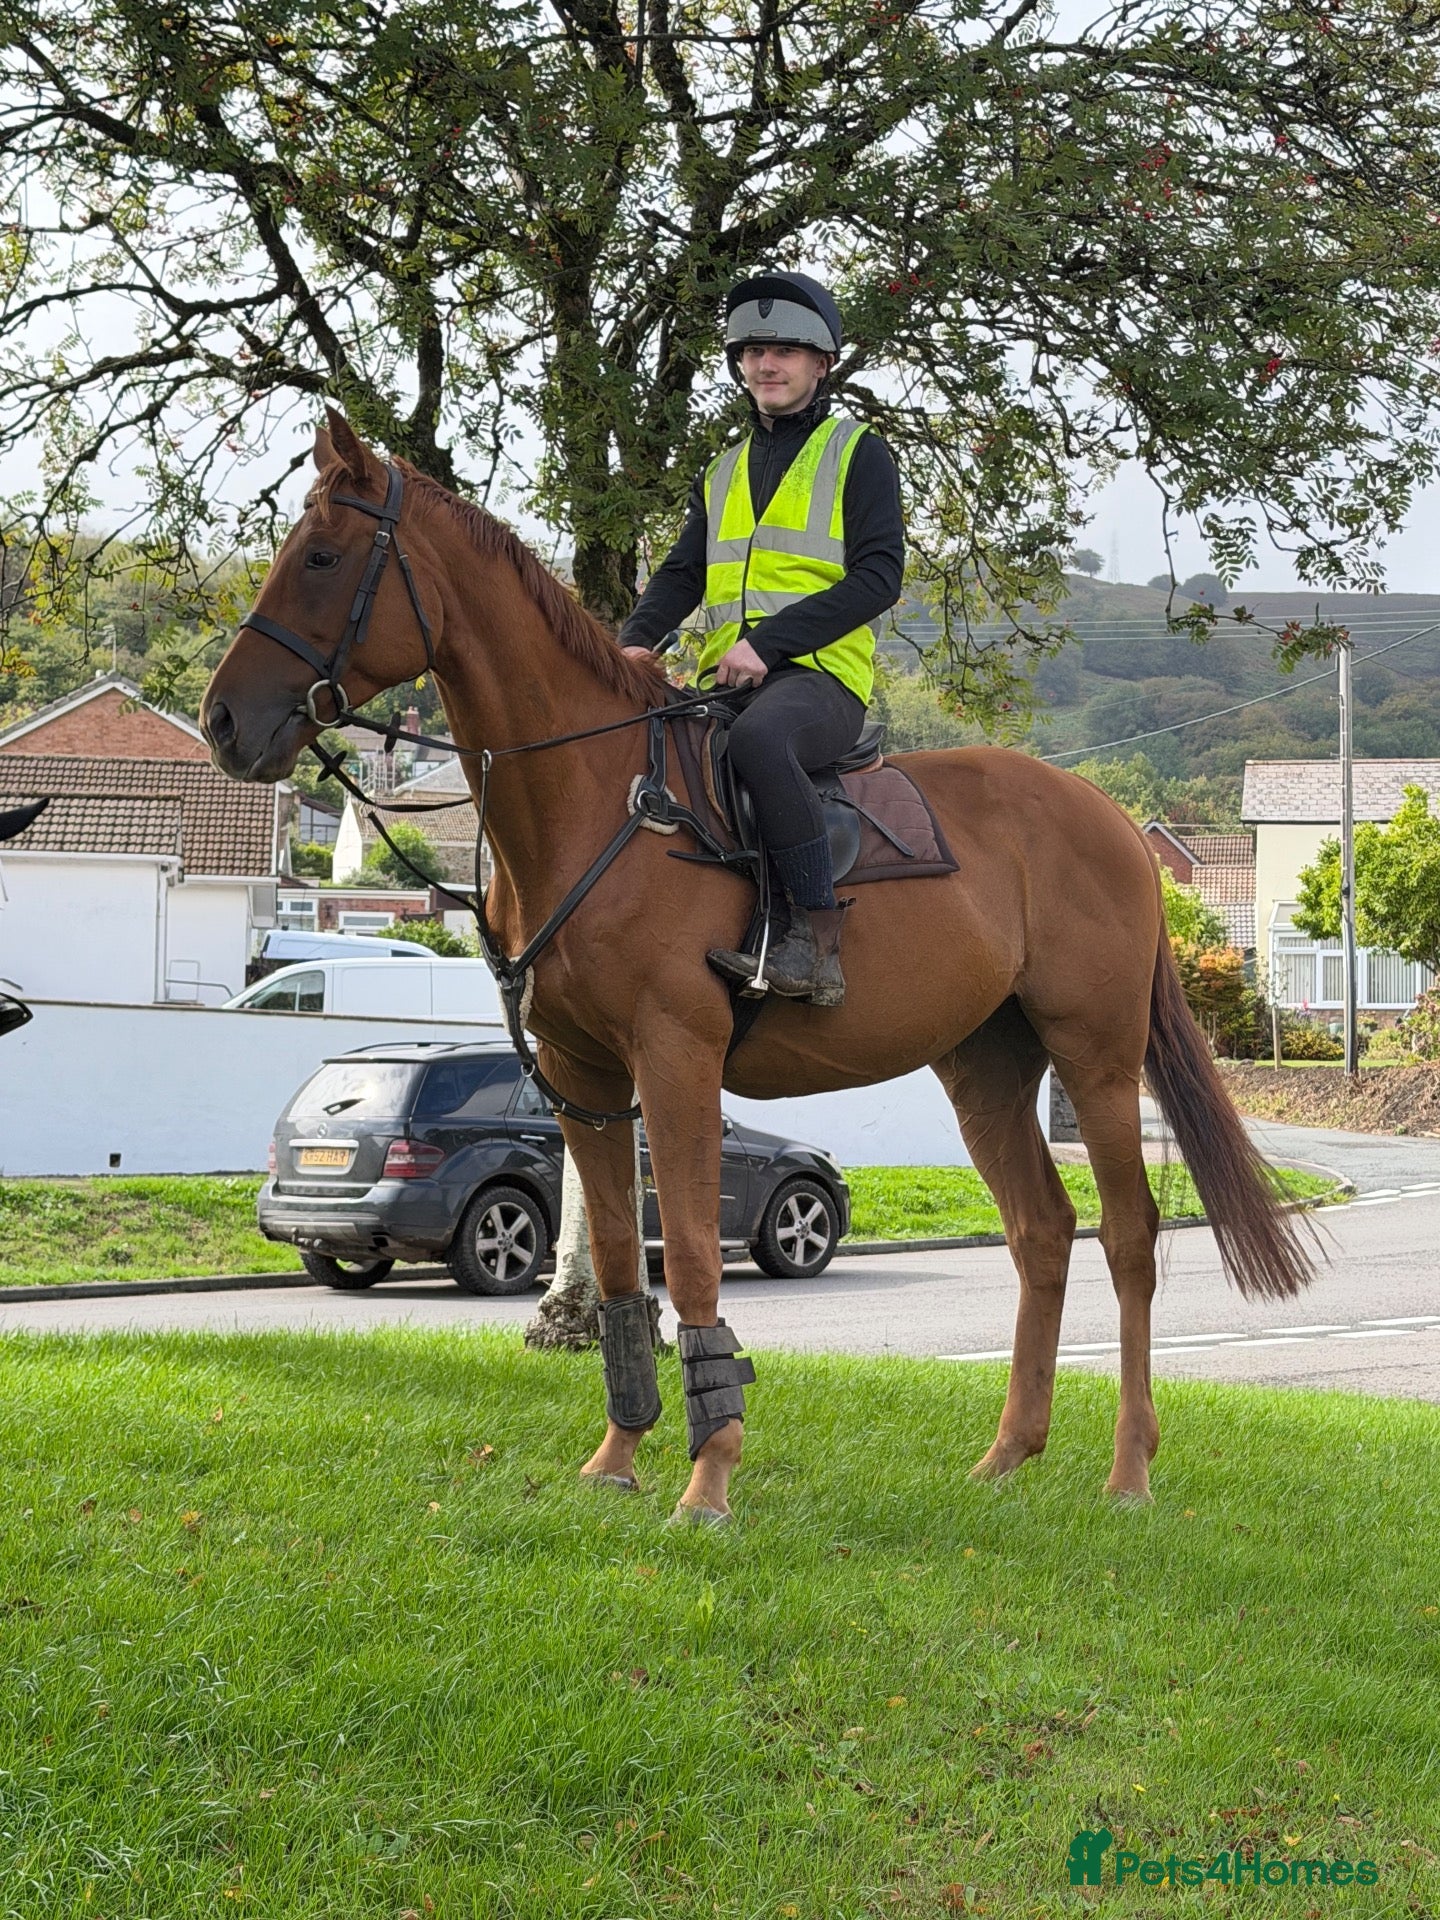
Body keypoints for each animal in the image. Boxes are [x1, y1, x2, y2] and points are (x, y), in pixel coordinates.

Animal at [200, 411, 1314, 1521]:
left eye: (323, 557)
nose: (223, 722)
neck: (599, 796)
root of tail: (1111, 821)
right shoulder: (581, 1077)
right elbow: (617, 1261)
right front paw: (617, 1459)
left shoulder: (676, 1058)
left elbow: (692, 1256)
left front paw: (710, 1476)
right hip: (986, 1070)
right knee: (1043, 1233)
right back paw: (1007, 1456)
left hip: (1097, 1055)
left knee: (1129, 1236)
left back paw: (1129, 1471)